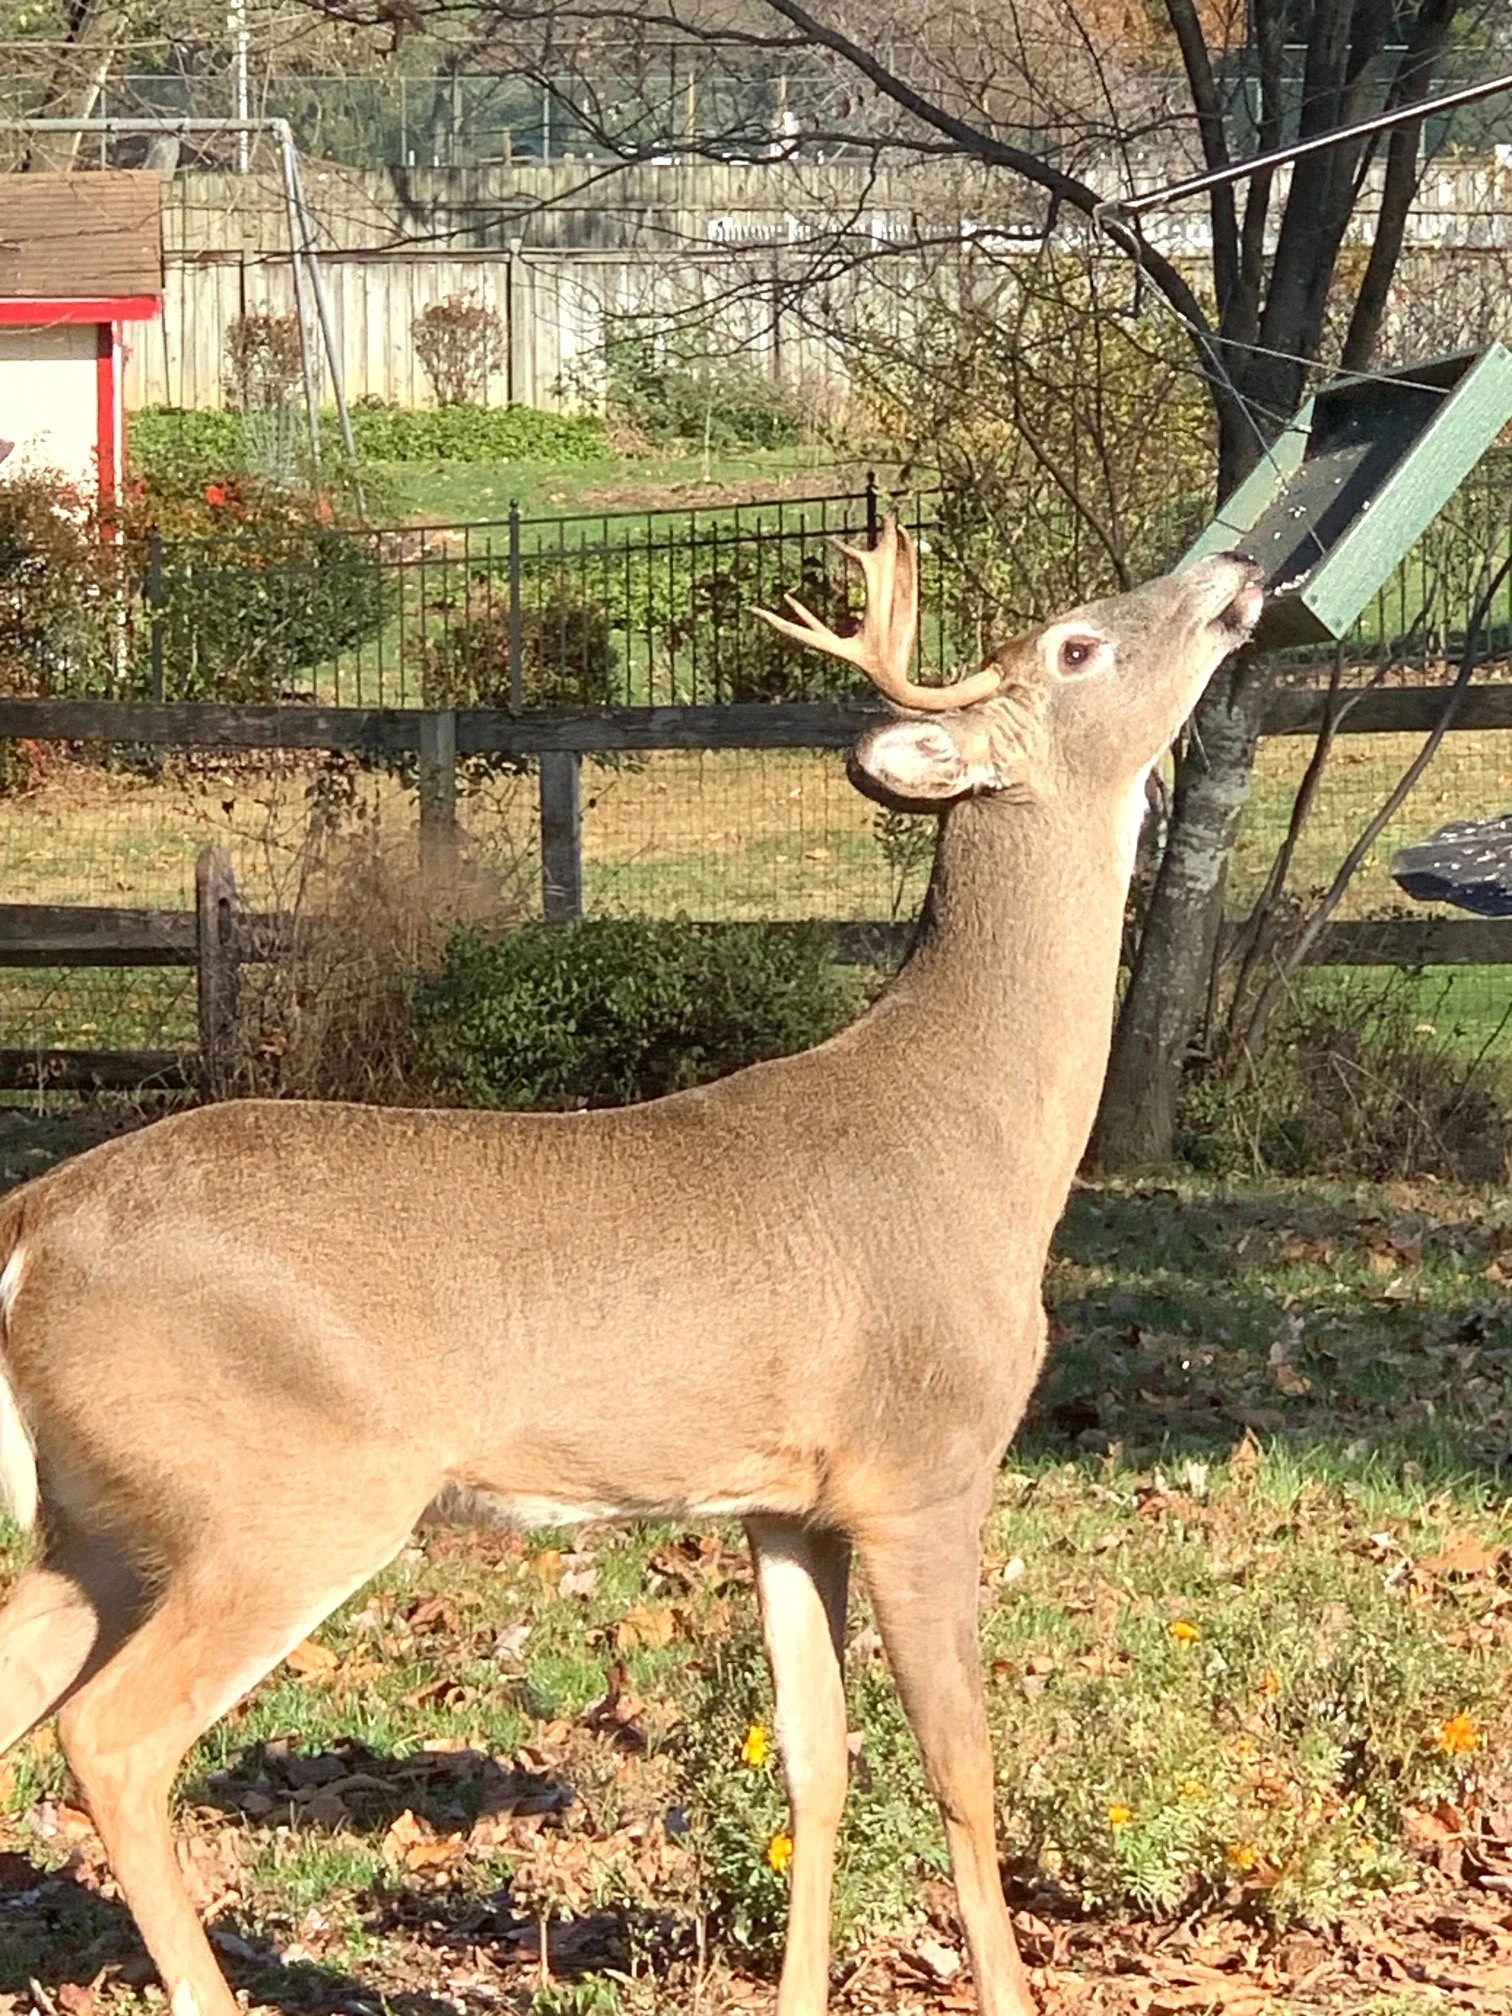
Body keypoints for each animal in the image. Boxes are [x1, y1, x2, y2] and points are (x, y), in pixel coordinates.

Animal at [0, 523, 1262, 2016]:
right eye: (1076, 643)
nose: (1242, 570)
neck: (981, 1140)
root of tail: (30, 1224)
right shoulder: (925, 1463)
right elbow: (964, 1767)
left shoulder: (787, 1502)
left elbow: (816, 1763)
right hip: (284, 1491)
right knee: (113, 1737)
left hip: (106, 1516)